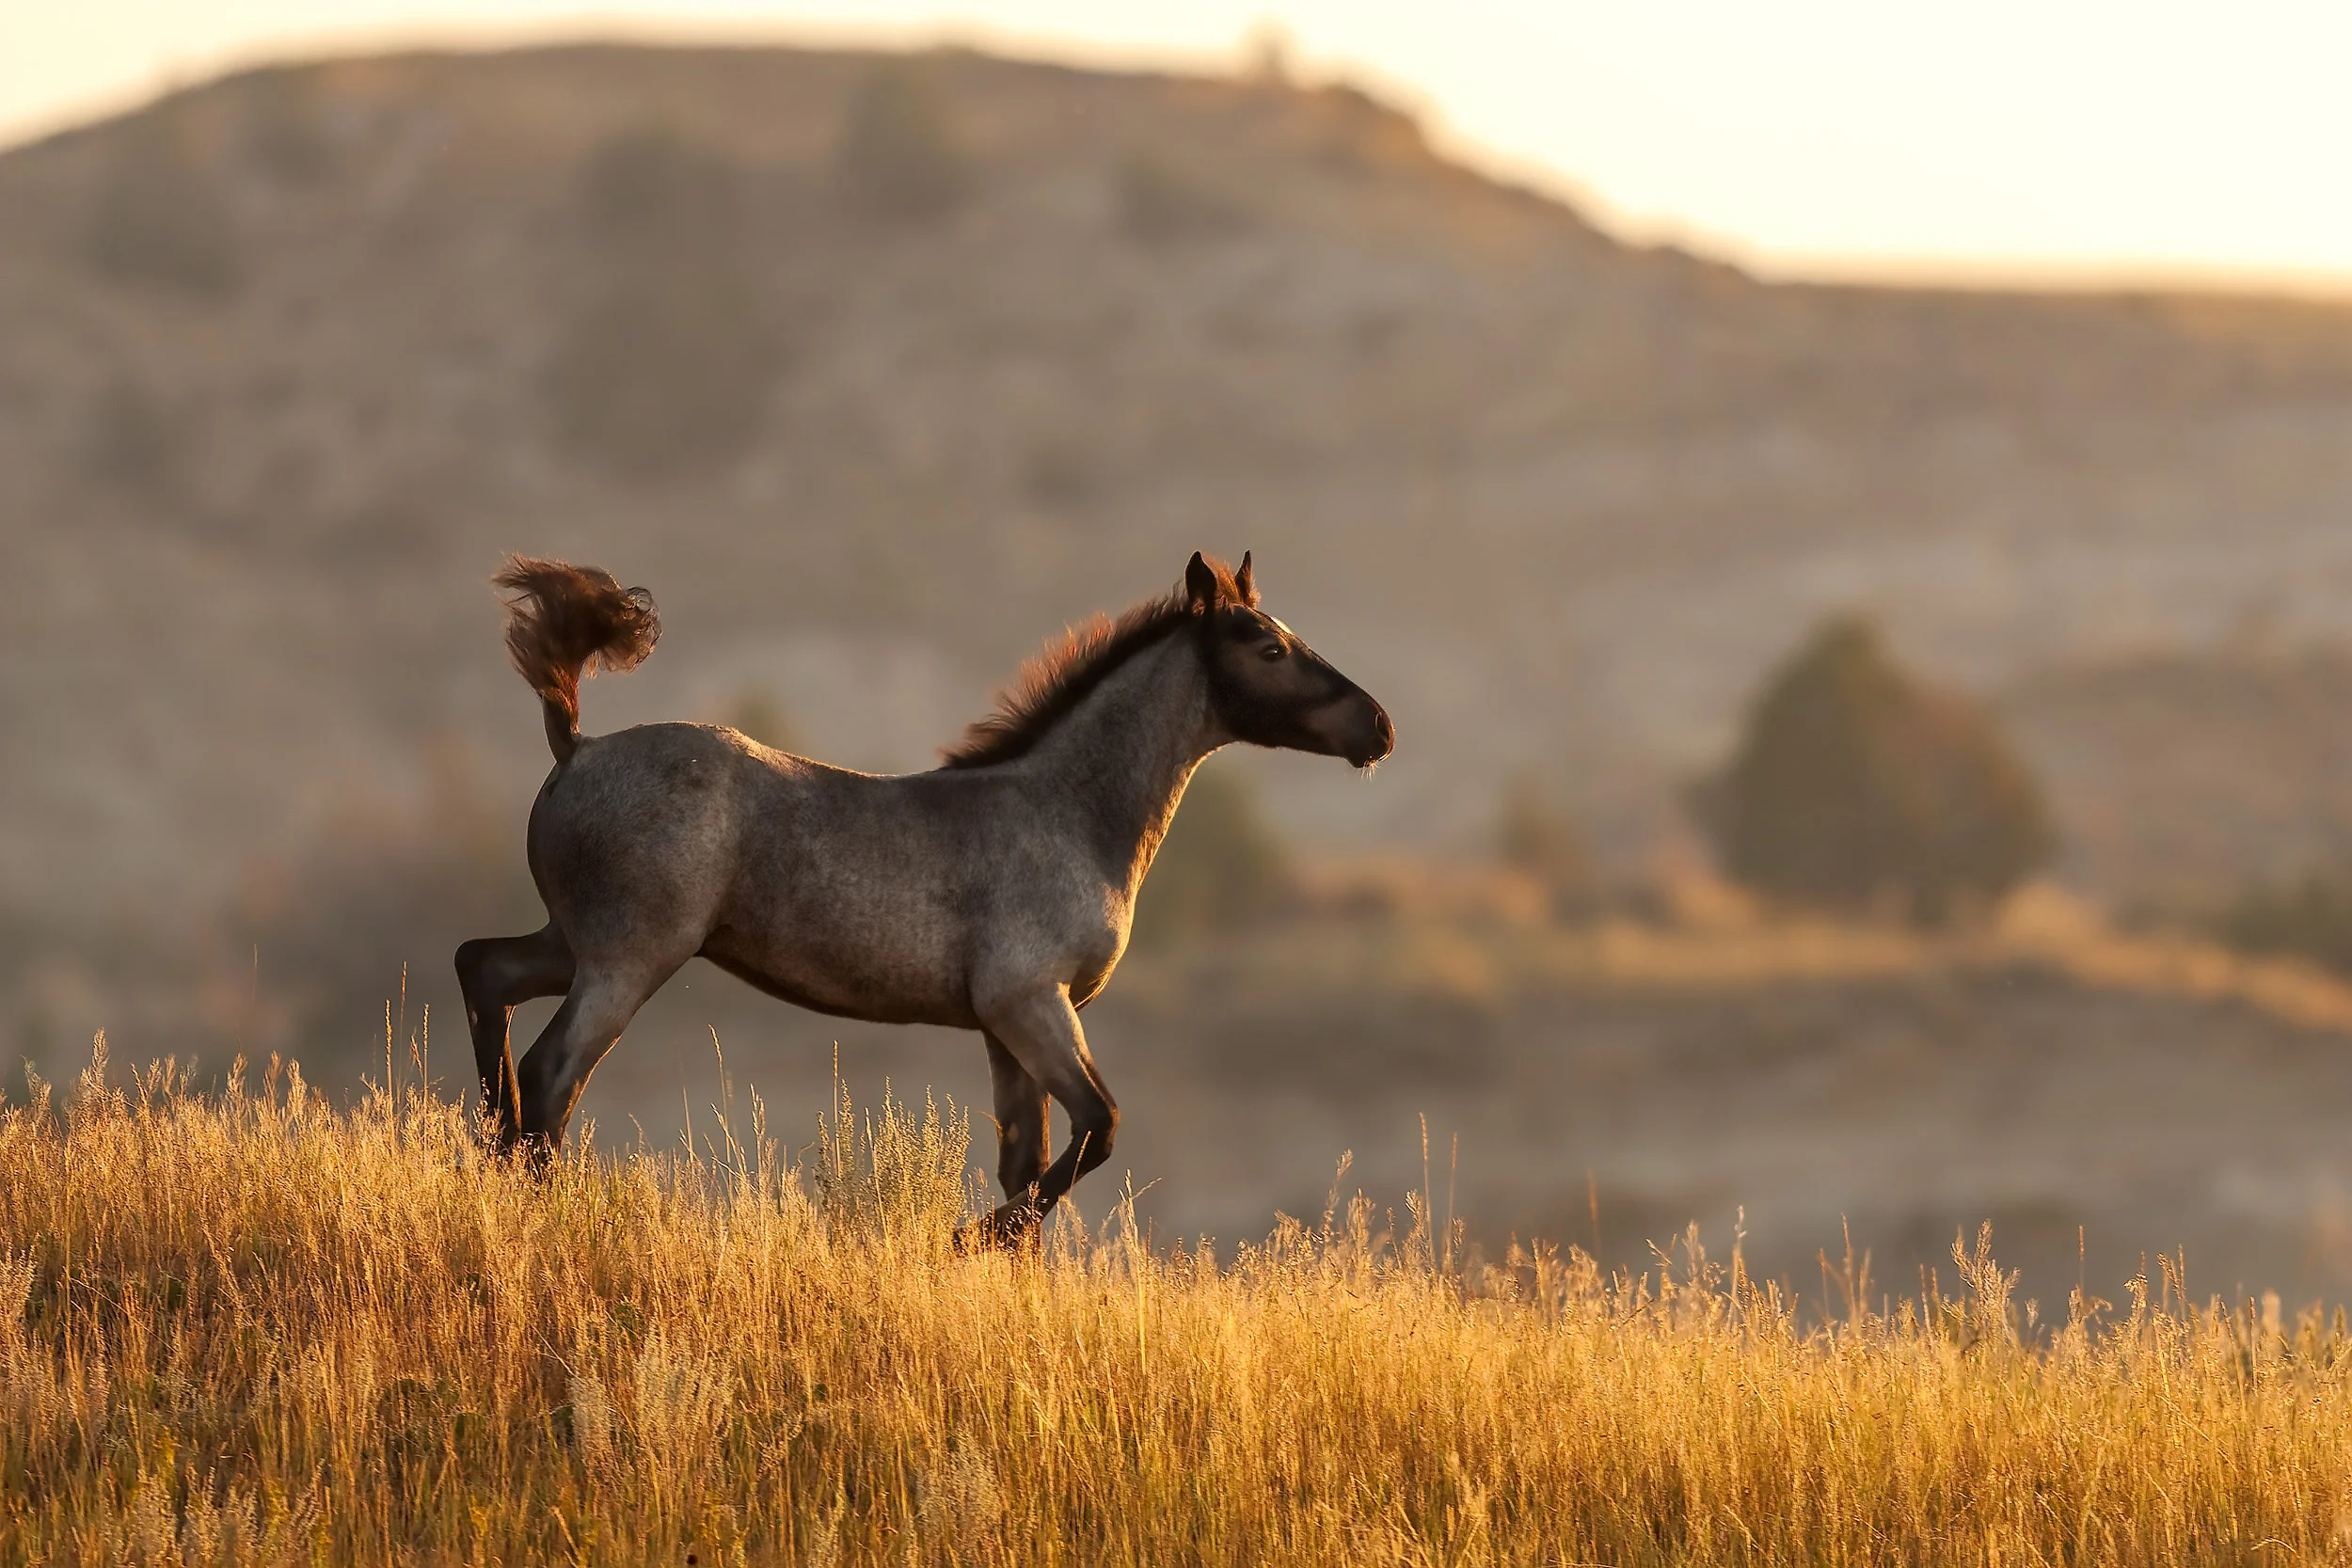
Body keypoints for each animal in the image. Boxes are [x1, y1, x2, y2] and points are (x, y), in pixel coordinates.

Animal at [454, 550, 1393, 1241]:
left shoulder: (1006, 1030)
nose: (1378, 726)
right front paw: (969, 1237)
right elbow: (1098, 1126)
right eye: (1268, 646)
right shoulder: (1031, 1002)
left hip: (574, 943)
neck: (1066, 808)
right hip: (630, 958)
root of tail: (577, 745)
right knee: (553, 1072)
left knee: (484, 973)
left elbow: (1028, 1158)